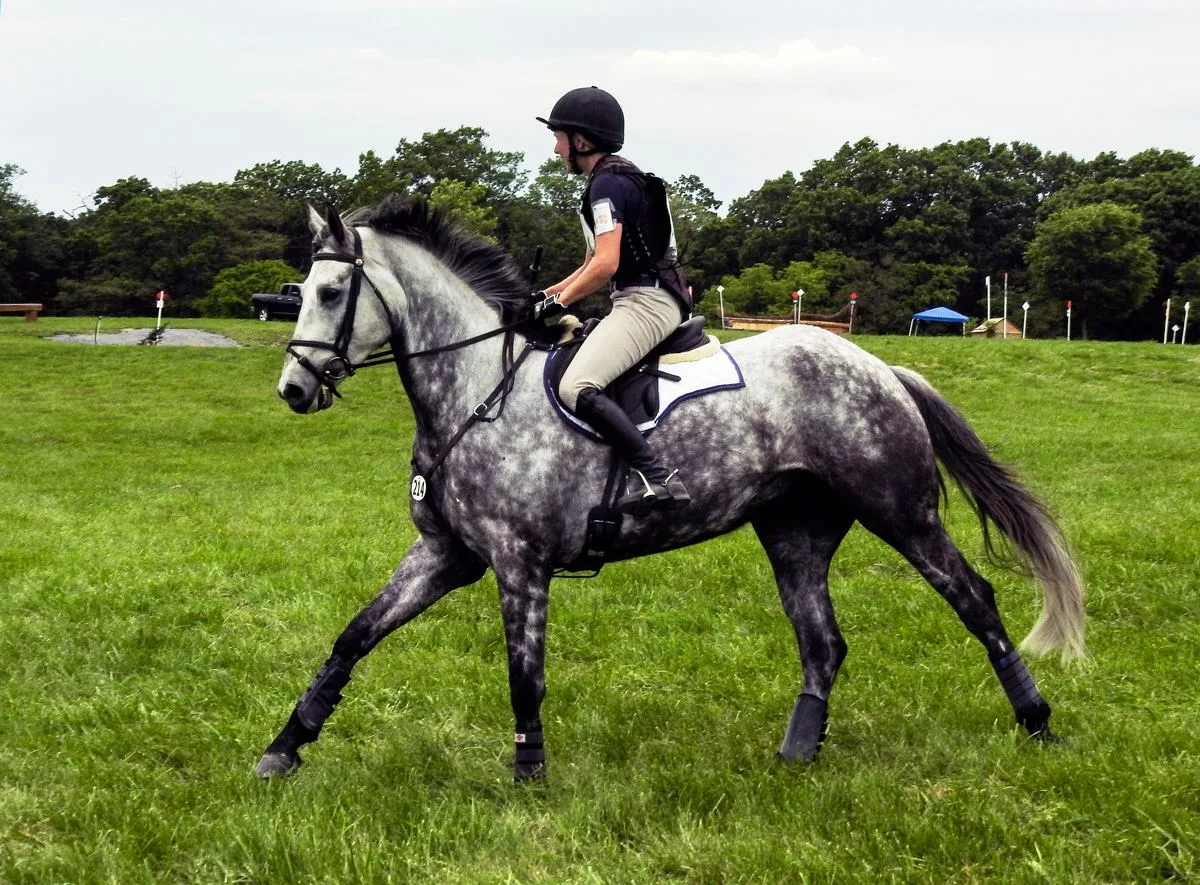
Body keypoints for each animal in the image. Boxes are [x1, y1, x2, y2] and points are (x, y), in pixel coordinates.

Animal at [255, 197, 1085, 781]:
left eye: (332, 291)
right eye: (301, 289)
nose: (294, 390)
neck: (475, 389)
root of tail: (881, 366)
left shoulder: (520, 565)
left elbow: (525, 676)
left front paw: (529, 775)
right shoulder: (445, 554)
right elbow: (354, 635)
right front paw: (285, 745)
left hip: (901, 512)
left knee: (974, 599)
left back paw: (1038, 719)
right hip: (795, 530)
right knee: (823, 642)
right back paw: (795, 755)